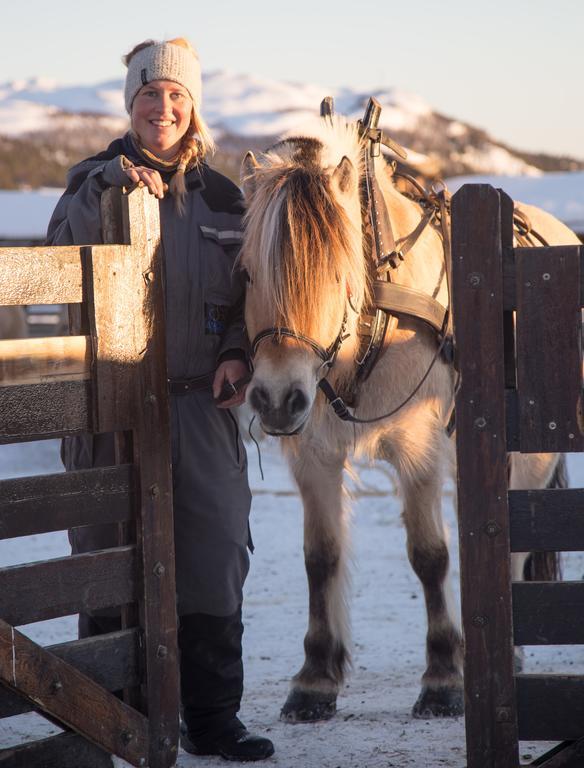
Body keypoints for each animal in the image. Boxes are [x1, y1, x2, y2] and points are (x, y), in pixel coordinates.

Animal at [237, 111, 580, 724]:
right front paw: (315, 678)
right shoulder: (313, 454)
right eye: (248, 273)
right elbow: (320, 557)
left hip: (529, 454)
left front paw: (443, 676)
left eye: (338, 274)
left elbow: (429, 555)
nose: (276, 399)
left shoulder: (417, 445)